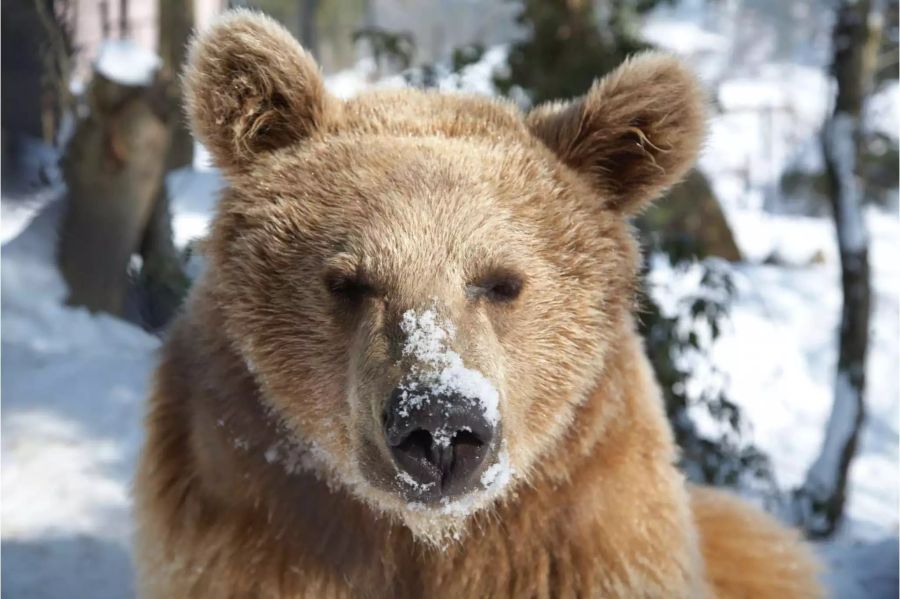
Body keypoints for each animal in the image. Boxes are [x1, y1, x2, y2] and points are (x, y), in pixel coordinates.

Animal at [134, 10, 824, 599]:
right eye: (349, 281)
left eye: (501, 281)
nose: (439, 425)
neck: (432, 540)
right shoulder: (258, 524)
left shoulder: (578, 533)